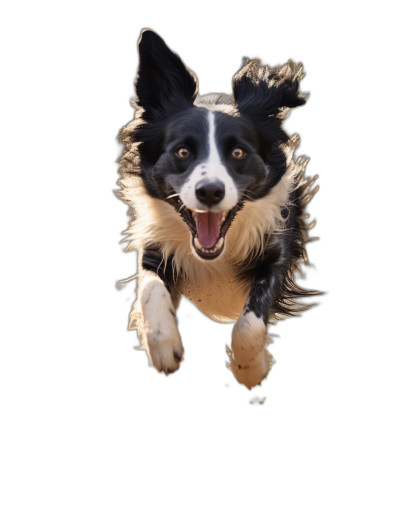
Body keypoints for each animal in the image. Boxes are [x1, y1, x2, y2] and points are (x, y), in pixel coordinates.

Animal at [115, 29, 322, 390]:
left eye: (238, 152)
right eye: (182, 151)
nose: (210, 191)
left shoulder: (277, 250)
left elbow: (250, 321)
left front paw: (251, 369)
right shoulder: (154, 247)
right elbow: (150, 287)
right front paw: (164, 347)